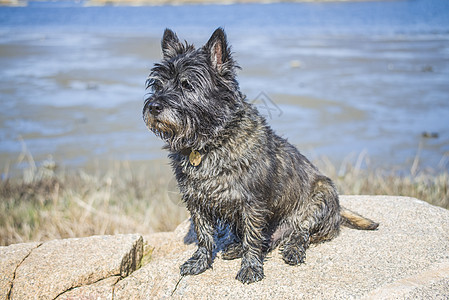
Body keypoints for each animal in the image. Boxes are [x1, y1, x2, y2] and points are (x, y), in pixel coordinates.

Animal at [142, 28, 376, 284]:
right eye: (158, 85)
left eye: (187, 85)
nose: (154, 106)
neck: (210, 142)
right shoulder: (196, 201)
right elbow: (204, 235)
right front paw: (199, 262)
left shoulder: (252, 202)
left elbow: (252, 236)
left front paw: (251, 268)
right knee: (268, 240)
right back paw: (236, 248)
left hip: (321, 196)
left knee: (301, 232)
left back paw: (292, 249)